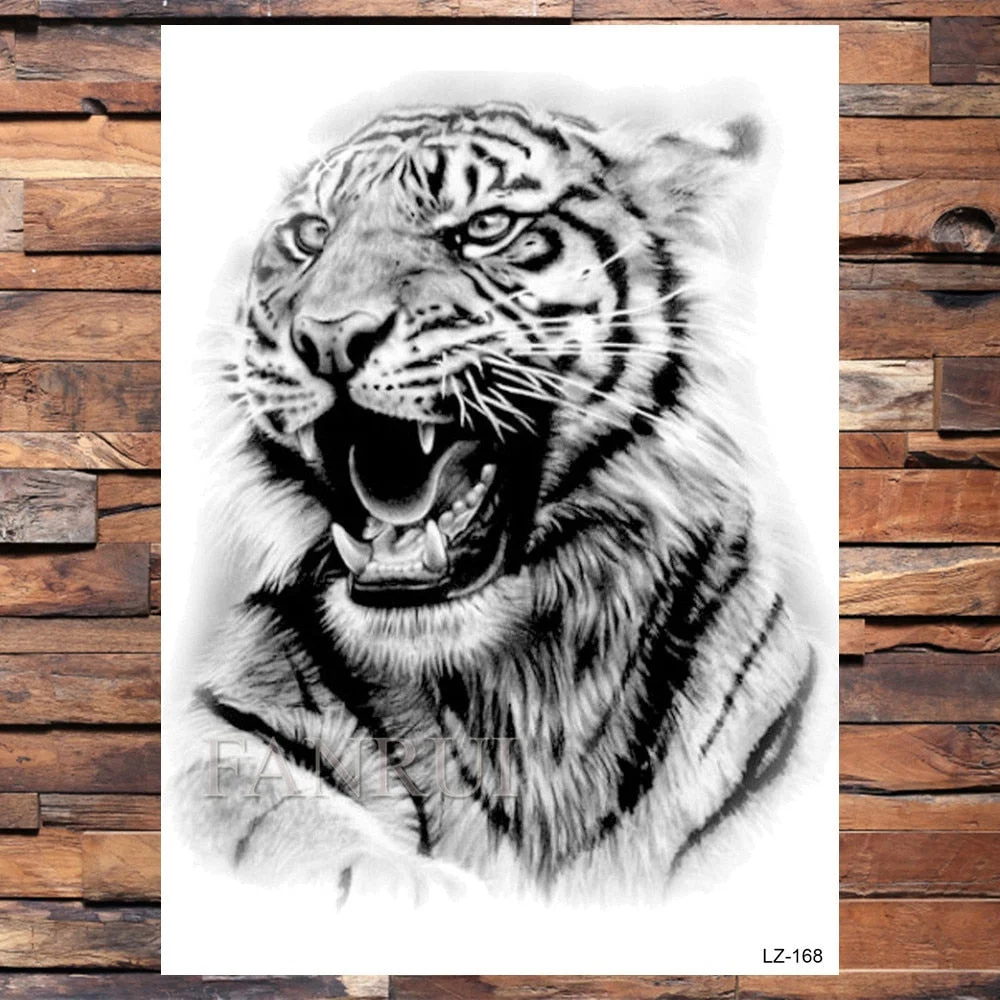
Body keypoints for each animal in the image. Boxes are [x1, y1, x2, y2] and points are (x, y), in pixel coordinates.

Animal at [171, 99, 825, 905]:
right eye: (310, 236)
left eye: (485, 227)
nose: (327, 338)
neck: (530, 687)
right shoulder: (225, 742)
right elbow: (272, 820)